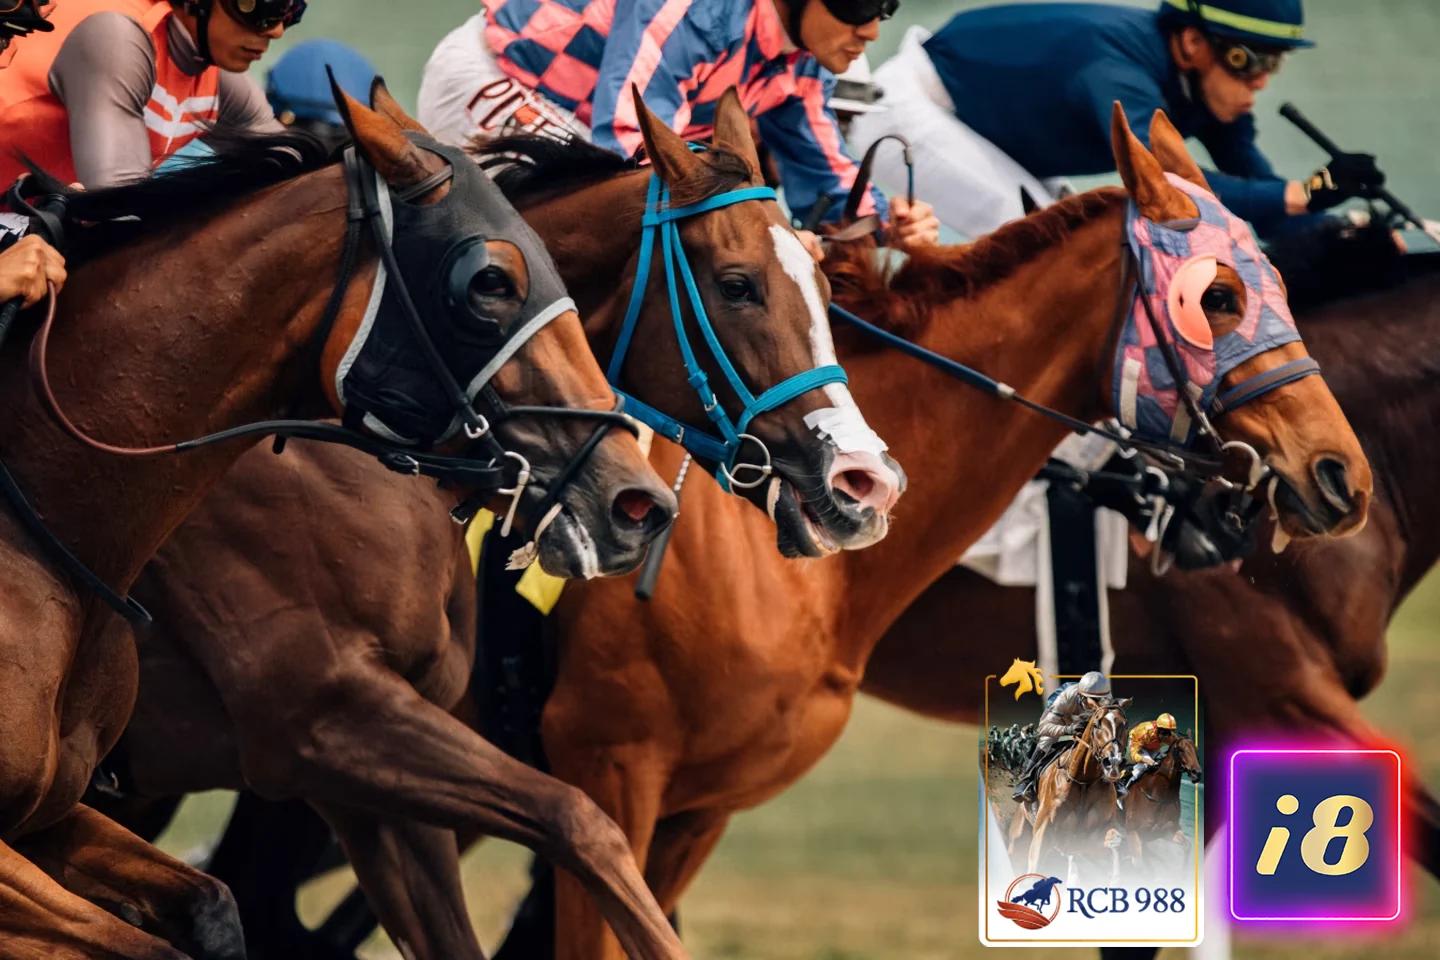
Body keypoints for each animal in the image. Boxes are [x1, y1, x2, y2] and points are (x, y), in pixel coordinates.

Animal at [86, 84, 903, 960]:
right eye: (738, 284)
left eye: (826, 287)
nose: (864, 481)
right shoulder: (324, 719)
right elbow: (583, 831)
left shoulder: (369, 777)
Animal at [1007, 701, 1131, 877]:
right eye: (1096, 724)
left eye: (1125, 725)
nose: (1112, 762)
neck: (1084, 781)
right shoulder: (1043, 833)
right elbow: (1035, 866)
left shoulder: (1089, 839)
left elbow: (1117, 841)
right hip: (1017, 839)